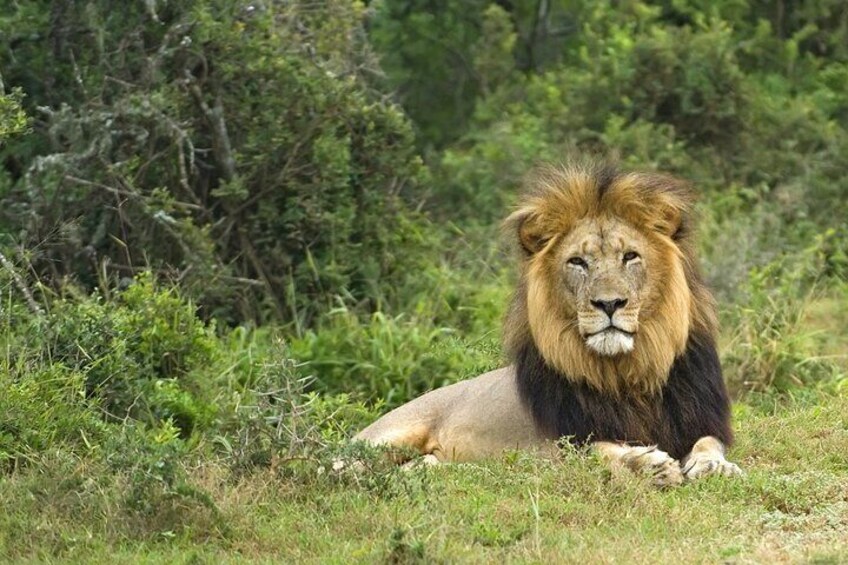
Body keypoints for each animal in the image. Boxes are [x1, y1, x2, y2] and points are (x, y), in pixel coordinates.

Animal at [354, 163, 740, 484]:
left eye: (630, 256)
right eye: (578, 262)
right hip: (385, 439)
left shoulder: (700, 420)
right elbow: (599, 451)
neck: (626, 373)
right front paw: (648, 465)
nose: (609, 304)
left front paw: (714, 466)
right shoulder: (556, 443)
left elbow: (708, 443)